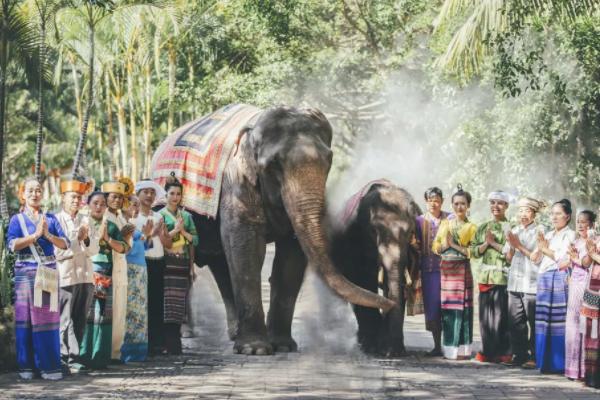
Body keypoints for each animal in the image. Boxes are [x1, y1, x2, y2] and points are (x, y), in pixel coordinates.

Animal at [155, 104, 394, 354]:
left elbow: (291, 256)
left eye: (329, 160)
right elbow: (248, 248)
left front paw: (283, 346)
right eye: (274, 165)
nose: (391, 304)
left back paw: (234, 334)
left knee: (221, 264)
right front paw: (255, 349)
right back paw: (189, 334)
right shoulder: (237, 184)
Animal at [328, 181, 422, 356]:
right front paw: (376, 348)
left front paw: (392, 350)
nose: (393, 353)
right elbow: (364, 279)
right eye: (374, 231)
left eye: (410, 232)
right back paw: (364, 343)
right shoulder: (354, 239)